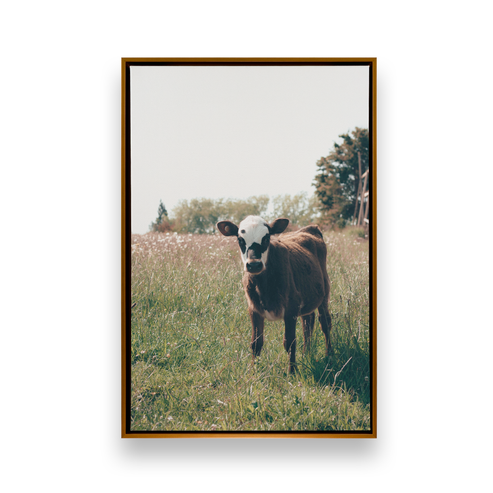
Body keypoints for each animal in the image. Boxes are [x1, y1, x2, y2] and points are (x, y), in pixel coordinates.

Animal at [215, 215, 330, 372]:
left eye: (266, 238)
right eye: (240, 239)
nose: (254, 265)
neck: (264, 286)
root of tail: (309, 228)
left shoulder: (291, 308)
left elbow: (290, 342)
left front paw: (292, 372)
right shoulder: (254, 309)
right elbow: (256, 343)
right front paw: (254, 371)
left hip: (325, 292)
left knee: (325, 322)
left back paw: (330, 355)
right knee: (308, 321)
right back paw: (306, 353)